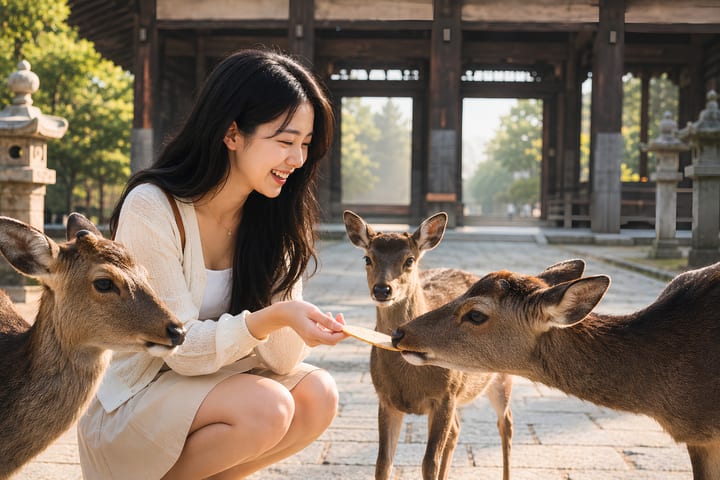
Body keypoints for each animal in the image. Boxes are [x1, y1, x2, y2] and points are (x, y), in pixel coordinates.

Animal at [343, 210, 513, 480]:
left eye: (410, 259)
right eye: (367, 258)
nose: (382, 289)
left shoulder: (445, 395)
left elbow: (429, 463)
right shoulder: (385, 398)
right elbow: (383, 462)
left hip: (503, 373)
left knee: (505, 422)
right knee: (457, 430)